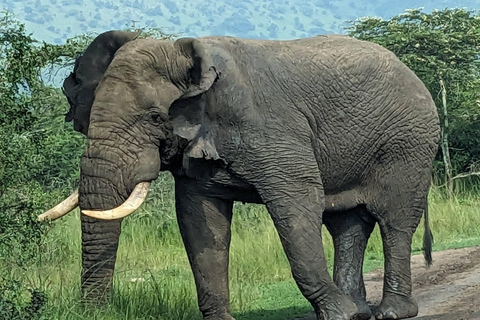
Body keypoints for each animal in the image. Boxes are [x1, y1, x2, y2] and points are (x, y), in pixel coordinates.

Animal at [43, 30, 440, 320]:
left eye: (155, 118)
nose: (94, 312)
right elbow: (199, 221)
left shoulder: (270, 127)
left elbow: (297, 206)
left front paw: (339, 315)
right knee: (346, 224)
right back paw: (360, 312)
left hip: (409, 143)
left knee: (395, 221)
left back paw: (391, 312)